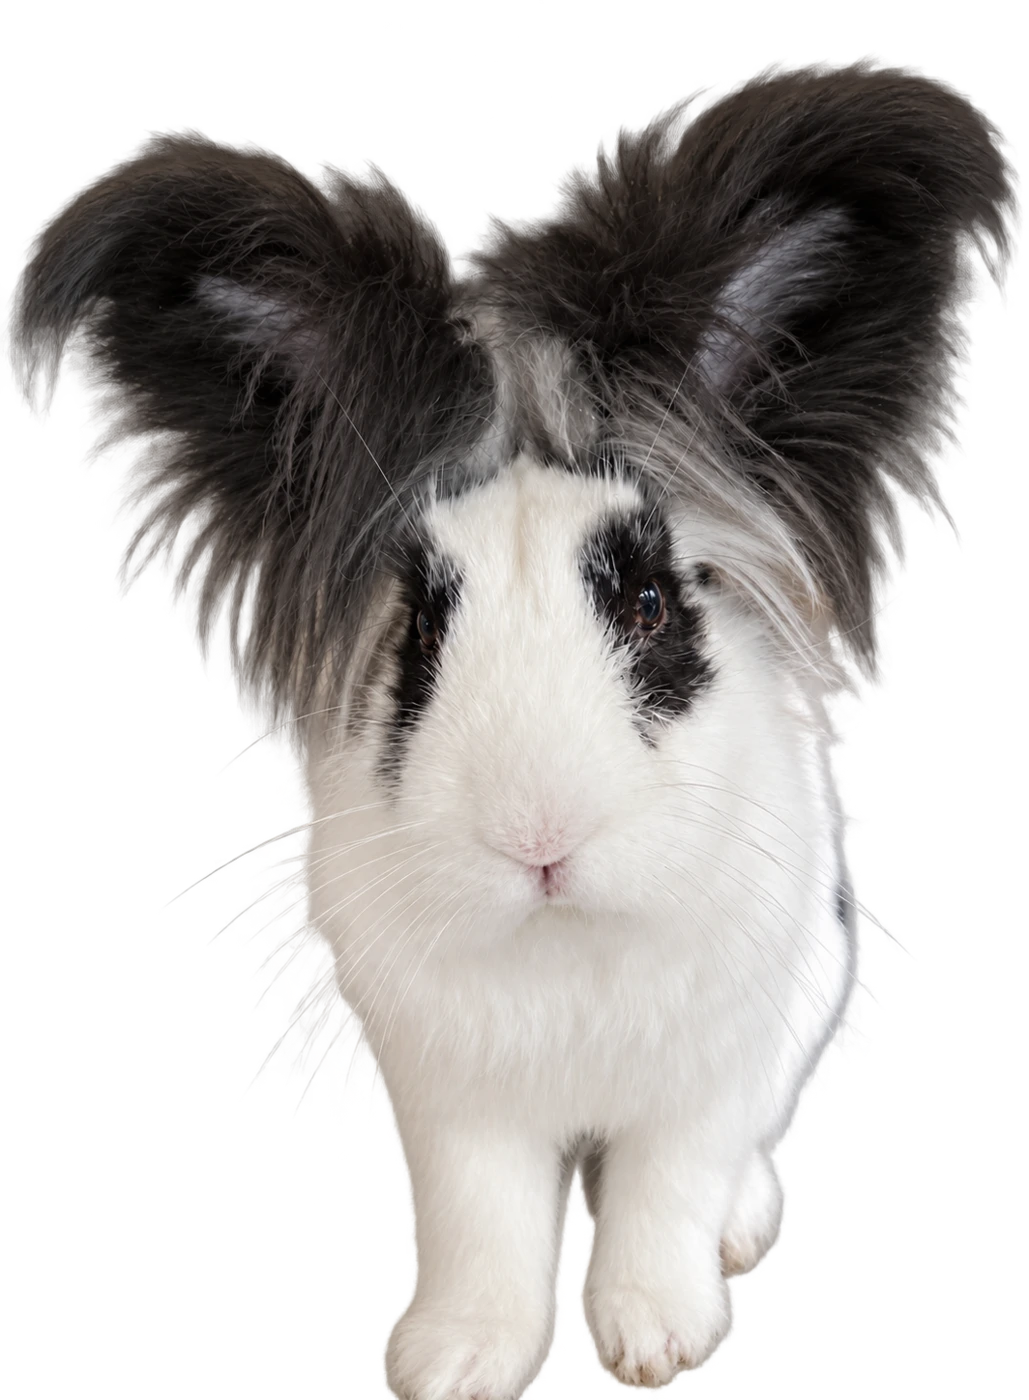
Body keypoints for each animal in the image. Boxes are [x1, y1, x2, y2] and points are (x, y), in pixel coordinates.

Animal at [2, 55, 1019, 1399]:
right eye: (420, 630)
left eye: (649, 604)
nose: (538, 838)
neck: (561, 943)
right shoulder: (455, 1107)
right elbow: (481, 1219)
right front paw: (454, 1359)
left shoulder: (701, 1077)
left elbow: (663, 1191)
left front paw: (657, 1341)